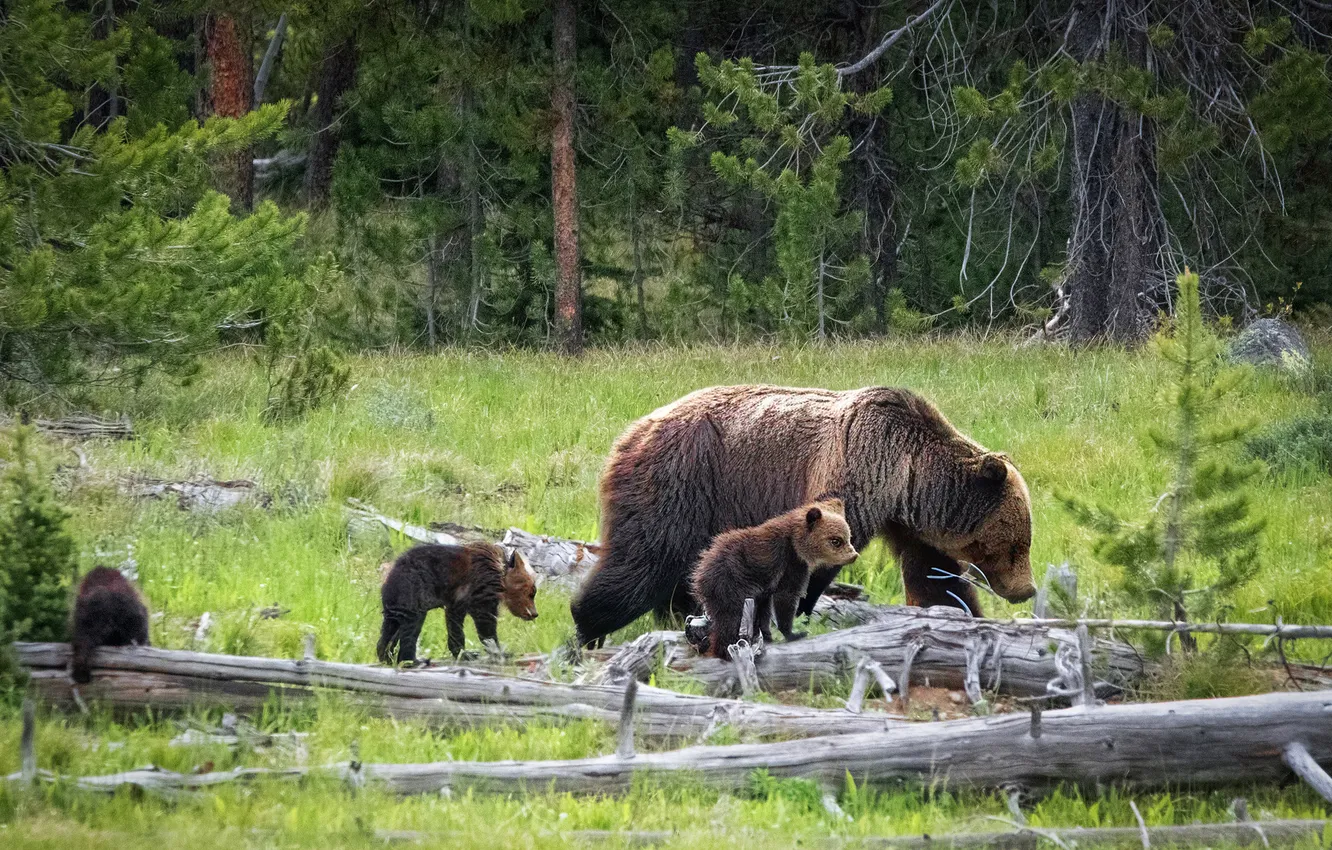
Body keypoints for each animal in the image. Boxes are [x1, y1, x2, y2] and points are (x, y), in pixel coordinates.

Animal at [377, 542, 538, 664]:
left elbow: (455, 624)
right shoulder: (480, 589)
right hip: (414, 591)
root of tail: (391, 571)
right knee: (411, 626)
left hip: (395, 601)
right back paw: (413, 660)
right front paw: (499, 651)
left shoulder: (458, 600)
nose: (534, 613)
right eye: (532, 592)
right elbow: (485, 624)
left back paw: (387, 656)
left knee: (390, 628)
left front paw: (463, 653)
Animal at [691, 499, 859, 660]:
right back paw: (728, 650)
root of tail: (702, 566)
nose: (854, 555)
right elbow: (786, 596)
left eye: (849, 536)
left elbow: (767, 609)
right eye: (836, 540)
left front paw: (770, 636)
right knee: (733, 616)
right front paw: (794, 633)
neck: (797, 542)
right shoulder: (791, 563)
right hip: (731, 581)